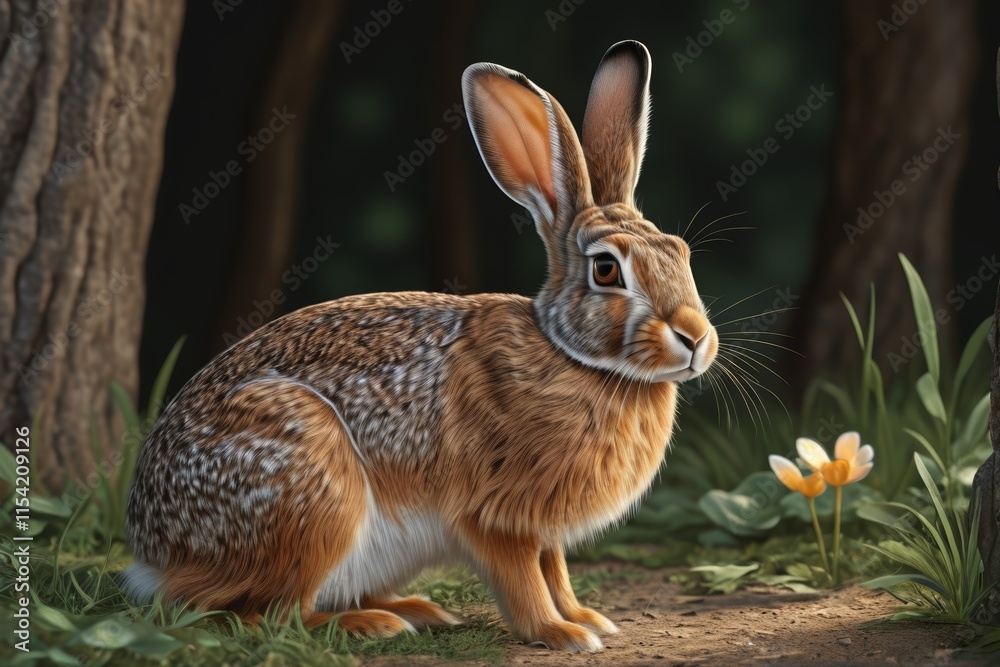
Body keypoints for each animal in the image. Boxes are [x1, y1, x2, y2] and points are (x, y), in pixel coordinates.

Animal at [123, 40, 718, 652]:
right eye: (606, 270)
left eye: (680, 251)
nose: (696, 338)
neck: (572, 355)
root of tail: (155, 552)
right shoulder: (494, 517)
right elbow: (525, 580)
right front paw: (560, 632)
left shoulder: (542, 524)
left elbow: (556, 571)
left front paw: (586, 617)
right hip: (308, 490)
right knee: (264, 613)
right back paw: (371, 623)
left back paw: (416, 609)